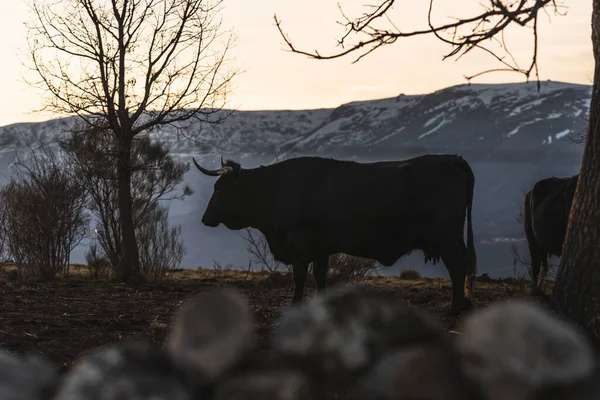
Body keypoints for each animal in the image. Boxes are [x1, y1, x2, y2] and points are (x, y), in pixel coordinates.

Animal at [192, 155, 478, 314]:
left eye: (219, 189)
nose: (205, 218)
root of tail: (452, 158)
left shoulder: (300, 244)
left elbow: (299, 277)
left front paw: (294, 306)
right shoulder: (321, 248)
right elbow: (320, 276)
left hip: (447, 238)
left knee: (458, 266)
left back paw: (455, 307)